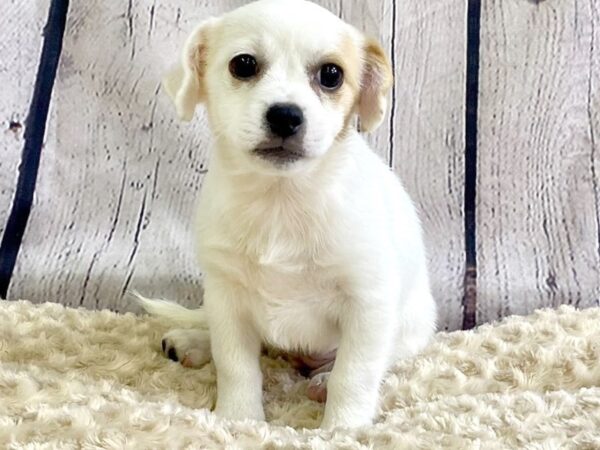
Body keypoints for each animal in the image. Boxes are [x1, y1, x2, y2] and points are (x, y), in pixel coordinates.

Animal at [139, 0, 438, 428]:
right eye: (243, 65)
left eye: (331, 75)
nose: (285, 115)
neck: (281, 201)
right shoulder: (227, 298)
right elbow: (236, 366)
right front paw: (238, 419)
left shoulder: (368, 303)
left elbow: (355, 374)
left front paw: (343, 428)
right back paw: (193, 341)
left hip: (411, 328)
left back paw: (322, 381)